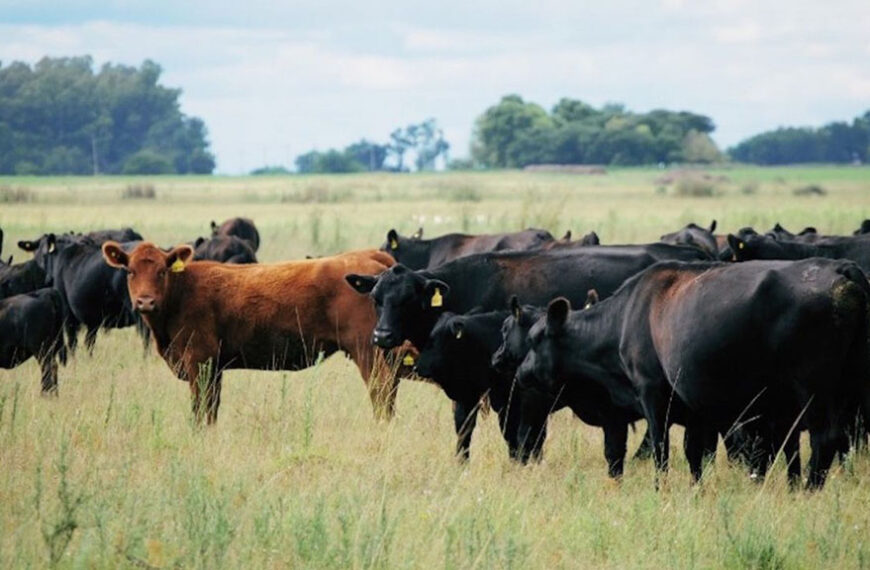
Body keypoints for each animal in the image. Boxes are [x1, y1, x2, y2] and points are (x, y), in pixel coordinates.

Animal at [104, 242, 404, 424]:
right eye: (130, 271)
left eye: (162, 271)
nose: (145, 301)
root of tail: (367, 255)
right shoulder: (214, 367)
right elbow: (211, 409)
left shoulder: (199, 360)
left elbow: (200, 409)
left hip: (368, 350)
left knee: (381, 390)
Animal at [516, 258, 870, 488]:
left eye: (534, 340)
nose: (520, 373)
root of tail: (841, 268)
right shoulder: (695, 407)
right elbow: (695, 454)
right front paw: (695, 490)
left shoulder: (652, 394)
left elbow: (661, 450)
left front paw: (661, 490)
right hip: (848, 390)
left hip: (814, 390)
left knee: (825, 439)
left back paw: (809, 491)